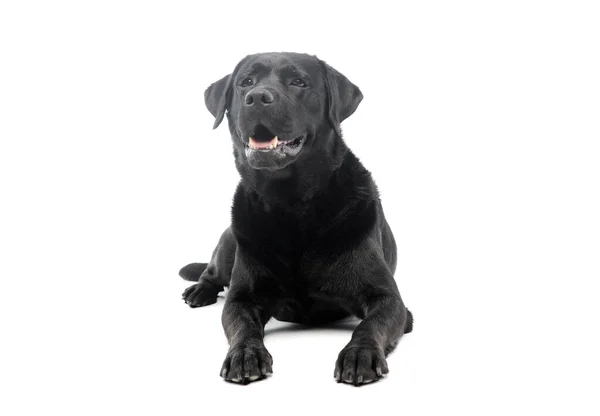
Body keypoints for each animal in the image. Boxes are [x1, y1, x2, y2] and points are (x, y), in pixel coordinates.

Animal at [179, 52, 412, 386]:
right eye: (245, 82)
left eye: (299, 82)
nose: (257, 97)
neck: (291, 207)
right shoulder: (241, 299)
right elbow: (242, 325)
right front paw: (245, 354)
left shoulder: (390, 300)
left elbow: (368, 324)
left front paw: (359, 353)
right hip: (229, 242)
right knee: (211, 273)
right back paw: (200, 290)